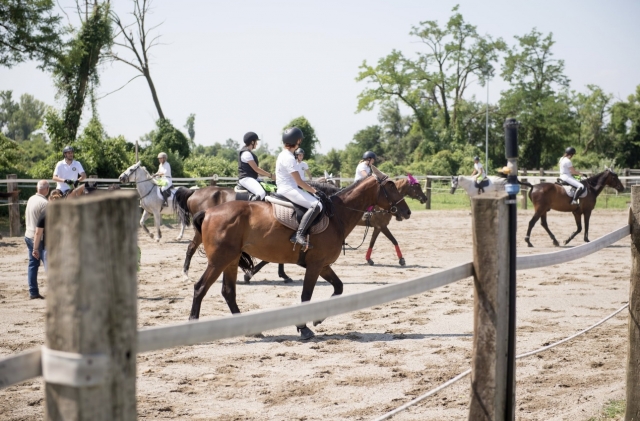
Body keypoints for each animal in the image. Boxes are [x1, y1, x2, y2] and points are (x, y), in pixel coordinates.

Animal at [189, 165, 411, 339]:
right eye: (391, 186)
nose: (407, 211)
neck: (336, 215)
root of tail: (209, 212)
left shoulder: (323, 265)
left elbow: (338, 288)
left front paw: (318, 318)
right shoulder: (315, 265)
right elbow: (306, 295)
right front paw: (303, 328)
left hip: (231, 261)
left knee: (228, 292)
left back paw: (249, 330)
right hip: (219, 261)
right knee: (201, 288)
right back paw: (193, 325)